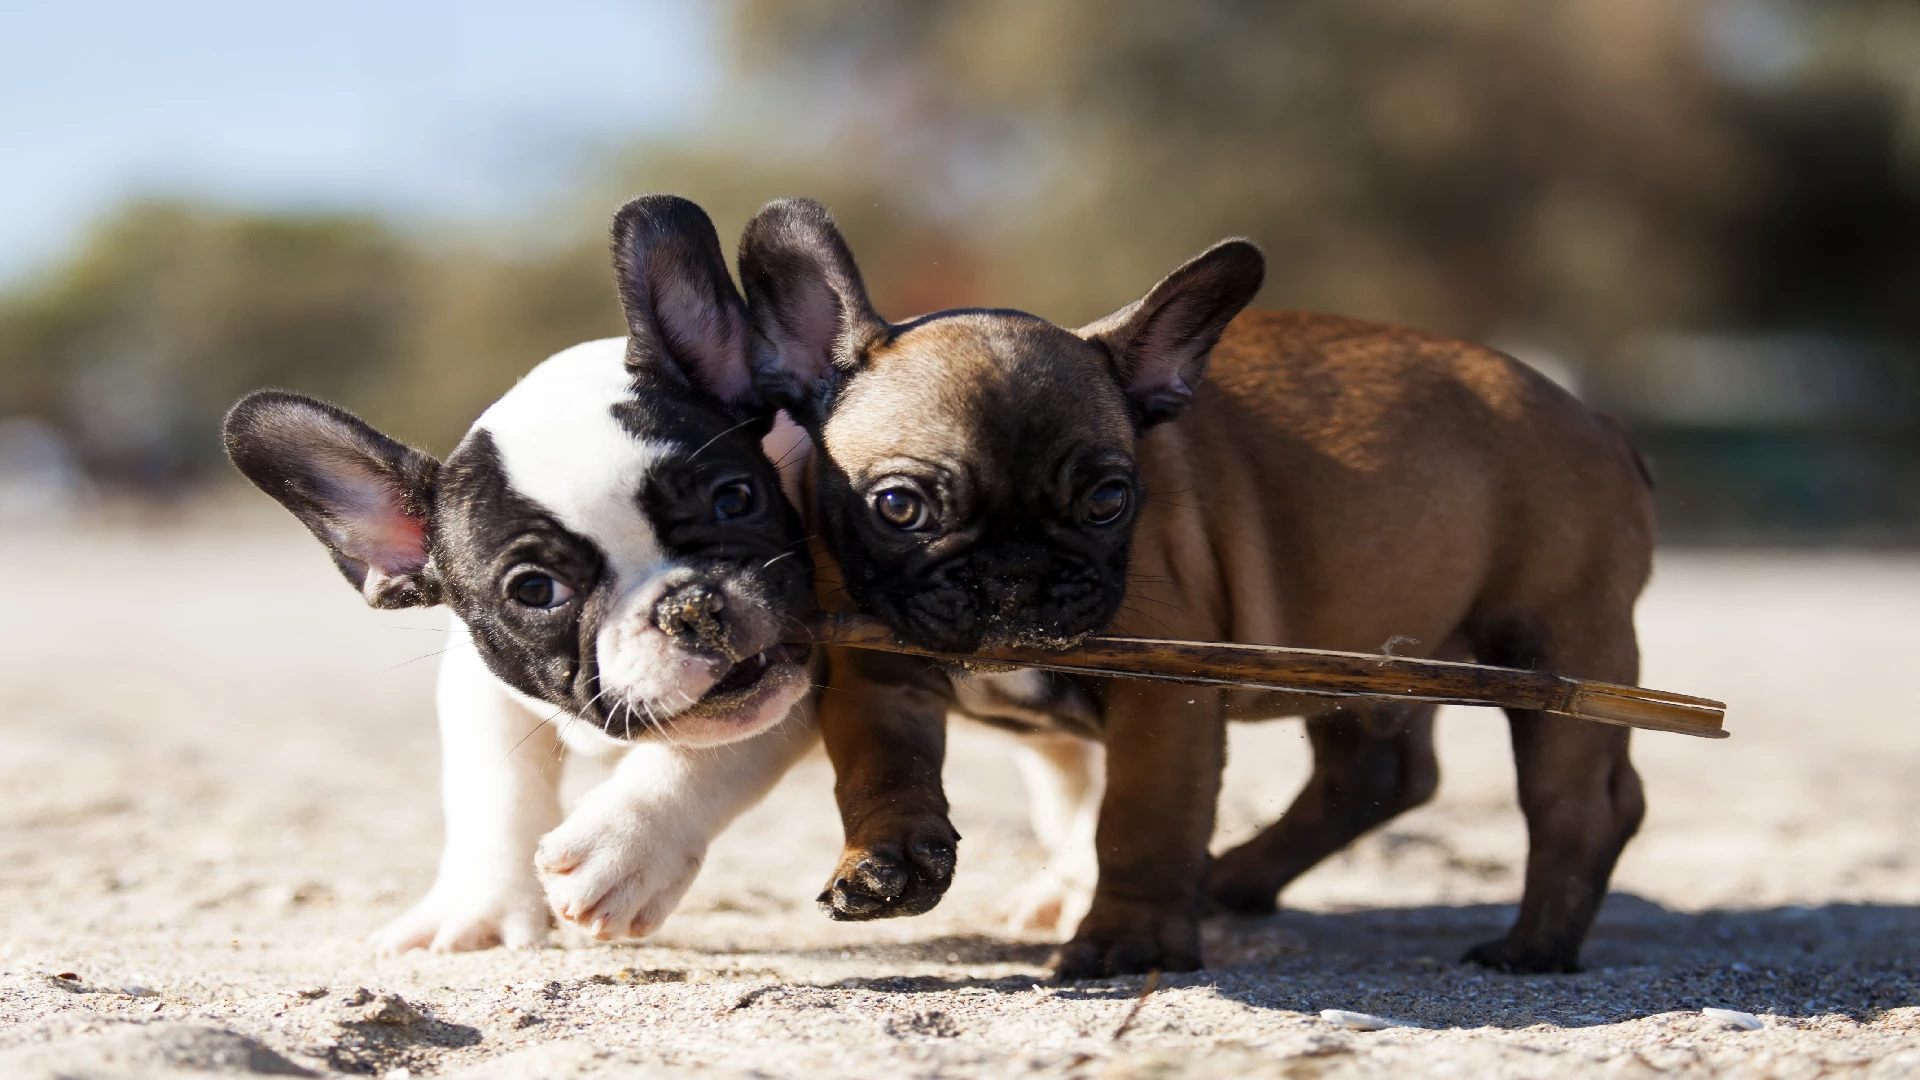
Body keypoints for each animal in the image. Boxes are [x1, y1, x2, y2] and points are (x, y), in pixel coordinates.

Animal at [226, 195, 817, 949]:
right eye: (537, 591)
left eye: (735, 499)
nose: (690, 606)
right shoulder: (481, 688)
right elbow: (494, 791)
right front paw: (480, 905)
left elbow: (721, 748)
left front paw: (623, 847)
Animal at [733, 195, 1651, 976]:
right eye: (899, 507)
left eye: (1109, 500)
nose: (1015, 570)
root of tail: (1602, 425)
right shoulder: (878, 675)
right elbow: (882, 770)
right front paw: (887, 861)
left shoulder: (1161, 703)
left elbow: (1140, 823)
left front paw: (1127, 940)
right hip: (1368, 654)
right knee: (1379, 774)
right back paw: (1238, 879)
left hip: (1557, 642)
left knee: (1582, 803)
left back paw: (1532, 946)